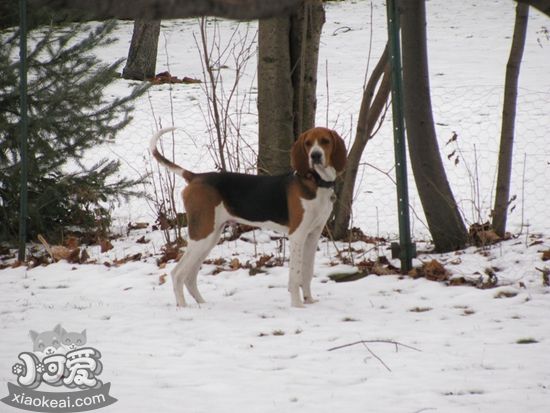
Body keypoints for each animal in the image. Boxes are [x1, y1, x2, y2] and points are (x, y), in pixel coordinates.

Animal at [150, 125, 350, 306]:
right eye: (308, 143)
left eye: (325, 141)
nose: (315, 155)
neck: (316, 182)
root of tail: (195, 176)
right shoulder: (297, 236)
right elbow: (295, 276)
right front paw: (297, 305)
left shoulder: (313, 236)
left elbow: (307, 273)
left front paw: (309, 301)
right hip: (202, 235)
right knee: (177, 273)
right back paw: (183, 307)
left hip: (210, 237)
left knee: (190, 276)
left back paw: (202, 304)